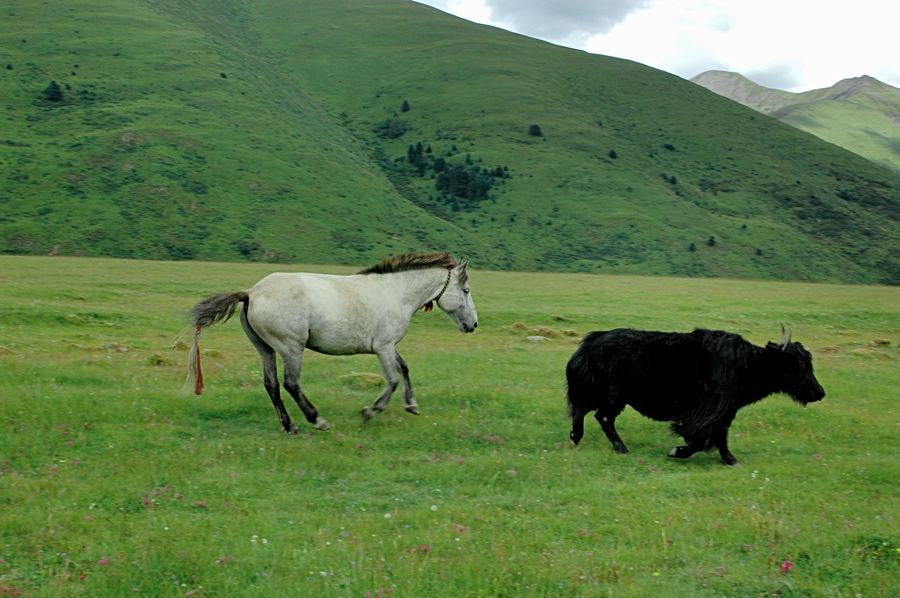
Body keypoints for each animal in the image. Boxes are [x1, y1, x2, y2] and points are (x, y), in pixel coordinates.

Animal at [185, 251, 478, 434]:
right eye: (465, 290)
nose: (473, 325)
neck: (395, 293)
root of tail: (252, 293)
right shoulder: (383, 347)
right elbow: (393, 380)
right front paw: (370, 411)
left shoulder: (389, 346)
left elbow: (404, 369)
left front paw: (412, 405)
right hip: (291, 348)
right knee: (291, 384)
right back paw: (318, 421)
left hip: (265, 349)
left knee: (272, 385)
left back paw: (290, 426)